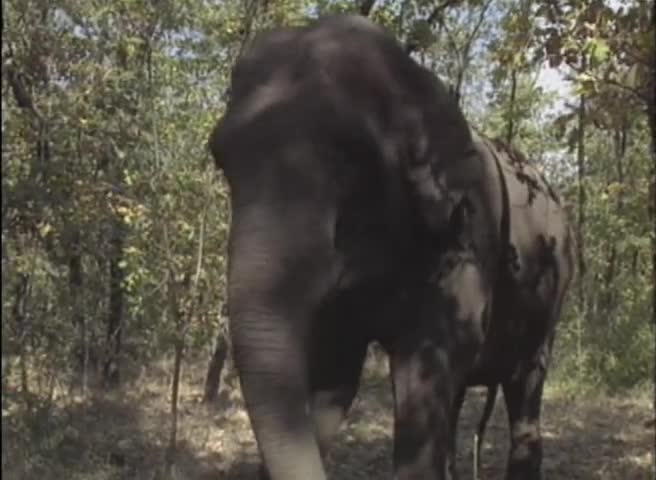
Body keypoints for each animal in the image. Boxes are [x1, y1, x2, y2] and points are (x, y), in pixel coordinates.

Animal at [208, 13, 574, 480]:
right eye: (221, 158)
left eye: (351, 157)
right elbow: (335, 374)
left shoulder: (466, 239)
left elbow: (423, 369)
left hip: (552, 293)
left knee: (526, 385)